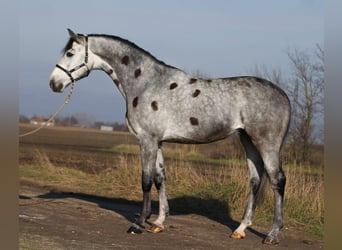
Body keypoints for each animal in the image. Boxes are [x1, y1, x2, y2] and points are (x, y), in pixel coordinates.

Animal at [49, 29, 290, 244]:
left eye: (70, 53)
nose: (54, 83)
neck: (147, 83)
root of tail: (284, 96)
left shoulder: (147, 140)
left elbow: (146, 180)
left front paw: (139, 223)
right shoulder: (158, 142)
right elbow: (160, 178)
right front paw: (158, 222)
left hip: (266, 143)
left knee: (277, 180)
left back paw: (272, 235)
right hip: (247, 140)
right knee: (255, 180)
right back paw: (240, 229)